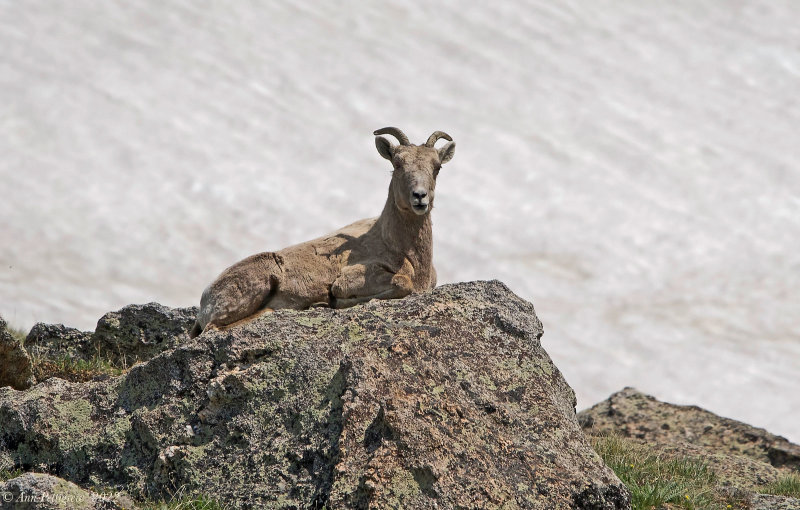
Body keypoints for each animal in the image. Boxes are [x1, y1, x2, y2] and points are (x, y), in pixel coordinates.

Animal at [189, 126, 456, 338]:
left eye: (437, 167)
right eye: (397, 163)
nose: (419, 197)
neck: (400, 249)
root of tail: (206, 300)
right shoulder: (352, 277)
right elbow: (402, 283)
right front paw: (339, 300)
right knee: (217, 328)